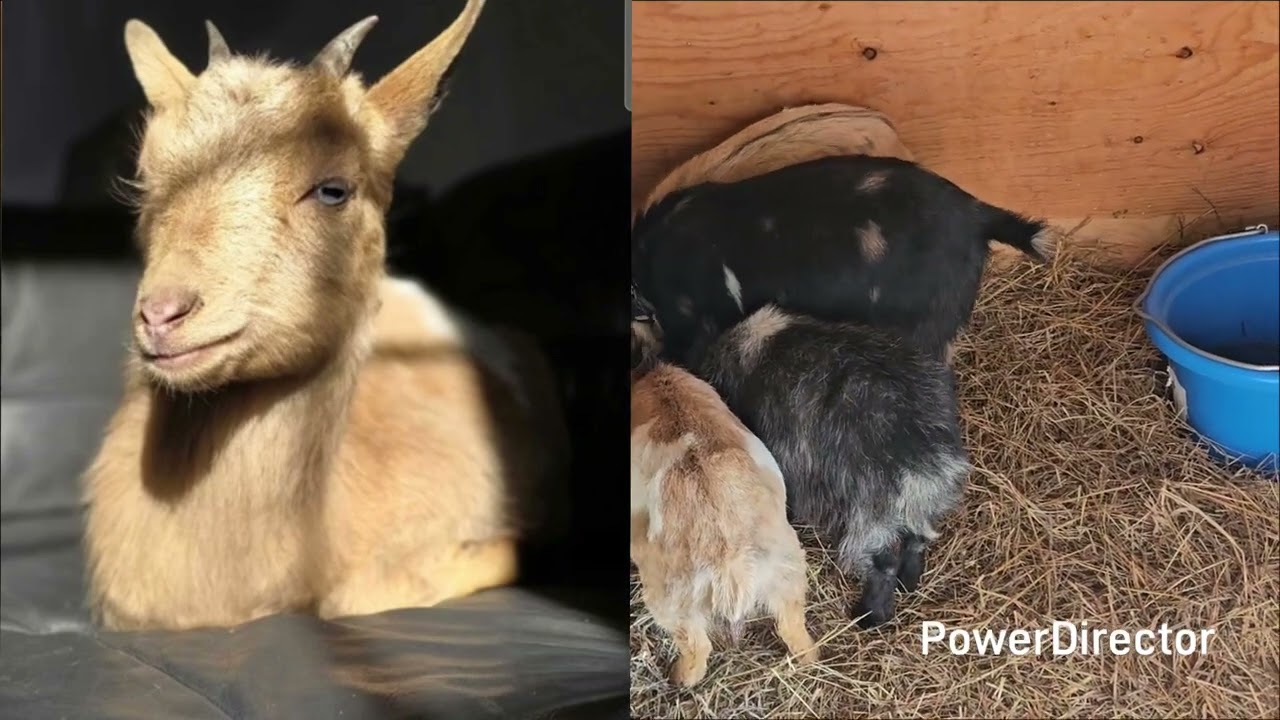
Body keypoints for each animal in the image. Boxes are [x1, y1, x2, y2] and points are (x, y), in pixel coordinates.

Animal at [691, 305, 970, 629]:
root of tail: (926, 459)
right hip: (917, 507)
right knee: (917, 540)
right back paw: (908, 580)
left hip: (873, 515)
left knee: (883, 563)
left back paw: (870, 614)